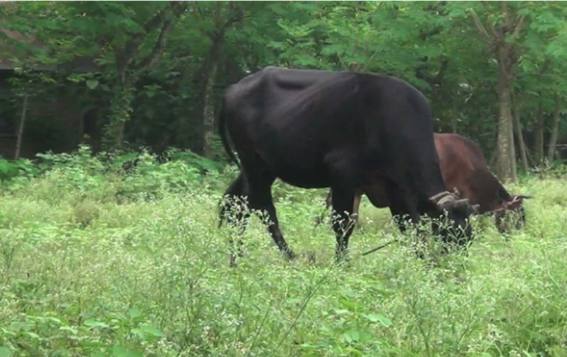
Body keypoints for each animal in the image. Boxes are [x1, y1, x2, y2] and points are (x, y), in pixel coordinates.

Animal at [217, 67, 474, 262]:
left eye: (468, 236)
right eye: (449, 233)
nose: (457, 269)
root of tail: (232, 89)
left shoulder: (394, 186)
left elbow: (408, 225)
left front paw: (420, 261)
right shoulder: (342, 176)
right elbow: (343, 224)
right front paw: (341, 262)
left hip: (263, 166)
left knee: (235, 202)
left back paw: (234, 254)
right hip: (253, 162)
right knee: (262, 207)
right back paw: (287, 255)